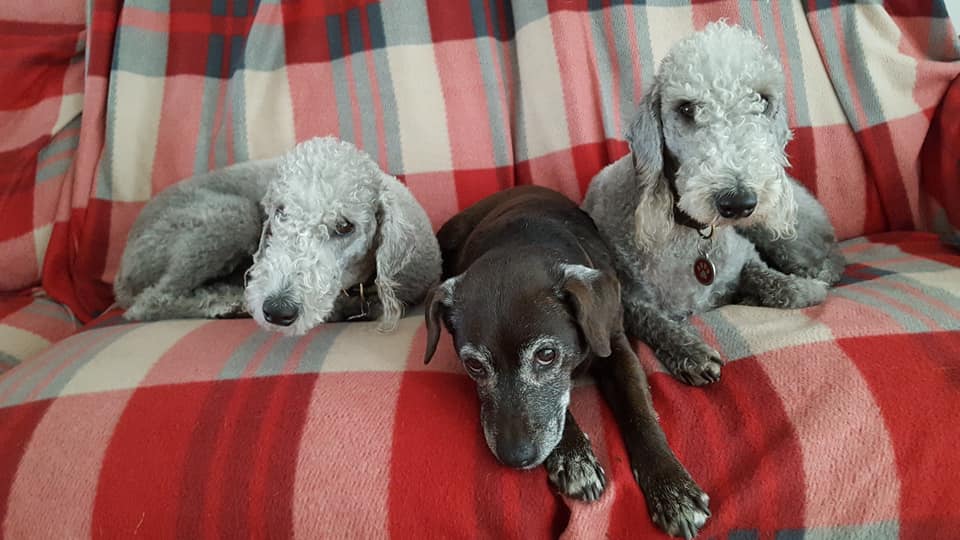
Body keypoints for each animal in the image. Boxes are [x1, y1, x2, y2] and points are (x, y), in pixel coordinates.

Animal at [115, 137, 442, 336]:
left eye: (345, 226)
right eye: (280, 212)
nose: (276, 311)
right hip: (230, 216)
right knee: (150, 301)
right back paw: (224, 305)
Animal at [424, 185, 708, 536]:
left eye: (546, 355)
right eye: (474, 365)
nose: (516, 457)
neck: (523, 238)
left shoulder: (616, 347)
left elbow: (640, 412)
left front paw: (673, 487)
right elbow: (561, 409)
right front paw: (574, 457)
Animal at [580, 23, 844, 386]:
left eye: (763, 100)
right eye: (686, 108)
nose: (738, 202)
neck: (696, 233)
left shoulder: (746, 255)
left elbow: (779, 284)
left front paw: (799, 289)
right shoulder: (628, 299)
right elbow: (654, 320)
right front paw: (691, 353)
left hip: (783, 234)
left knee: (829, 263)